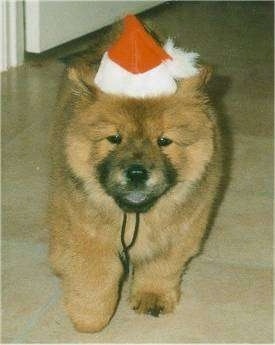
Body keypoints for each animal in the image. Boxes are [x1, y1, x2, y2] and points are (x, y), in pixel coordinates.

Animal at [48, 39, 223, 330]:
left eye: (163, 141)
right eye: (114, 138)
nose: (137, 173)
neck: (135, 215)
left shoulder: (178, 233)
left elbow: (160, 268)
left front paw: (152, 299)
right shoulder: (85, 234)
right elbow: (94, 279)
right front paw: (88, 318)